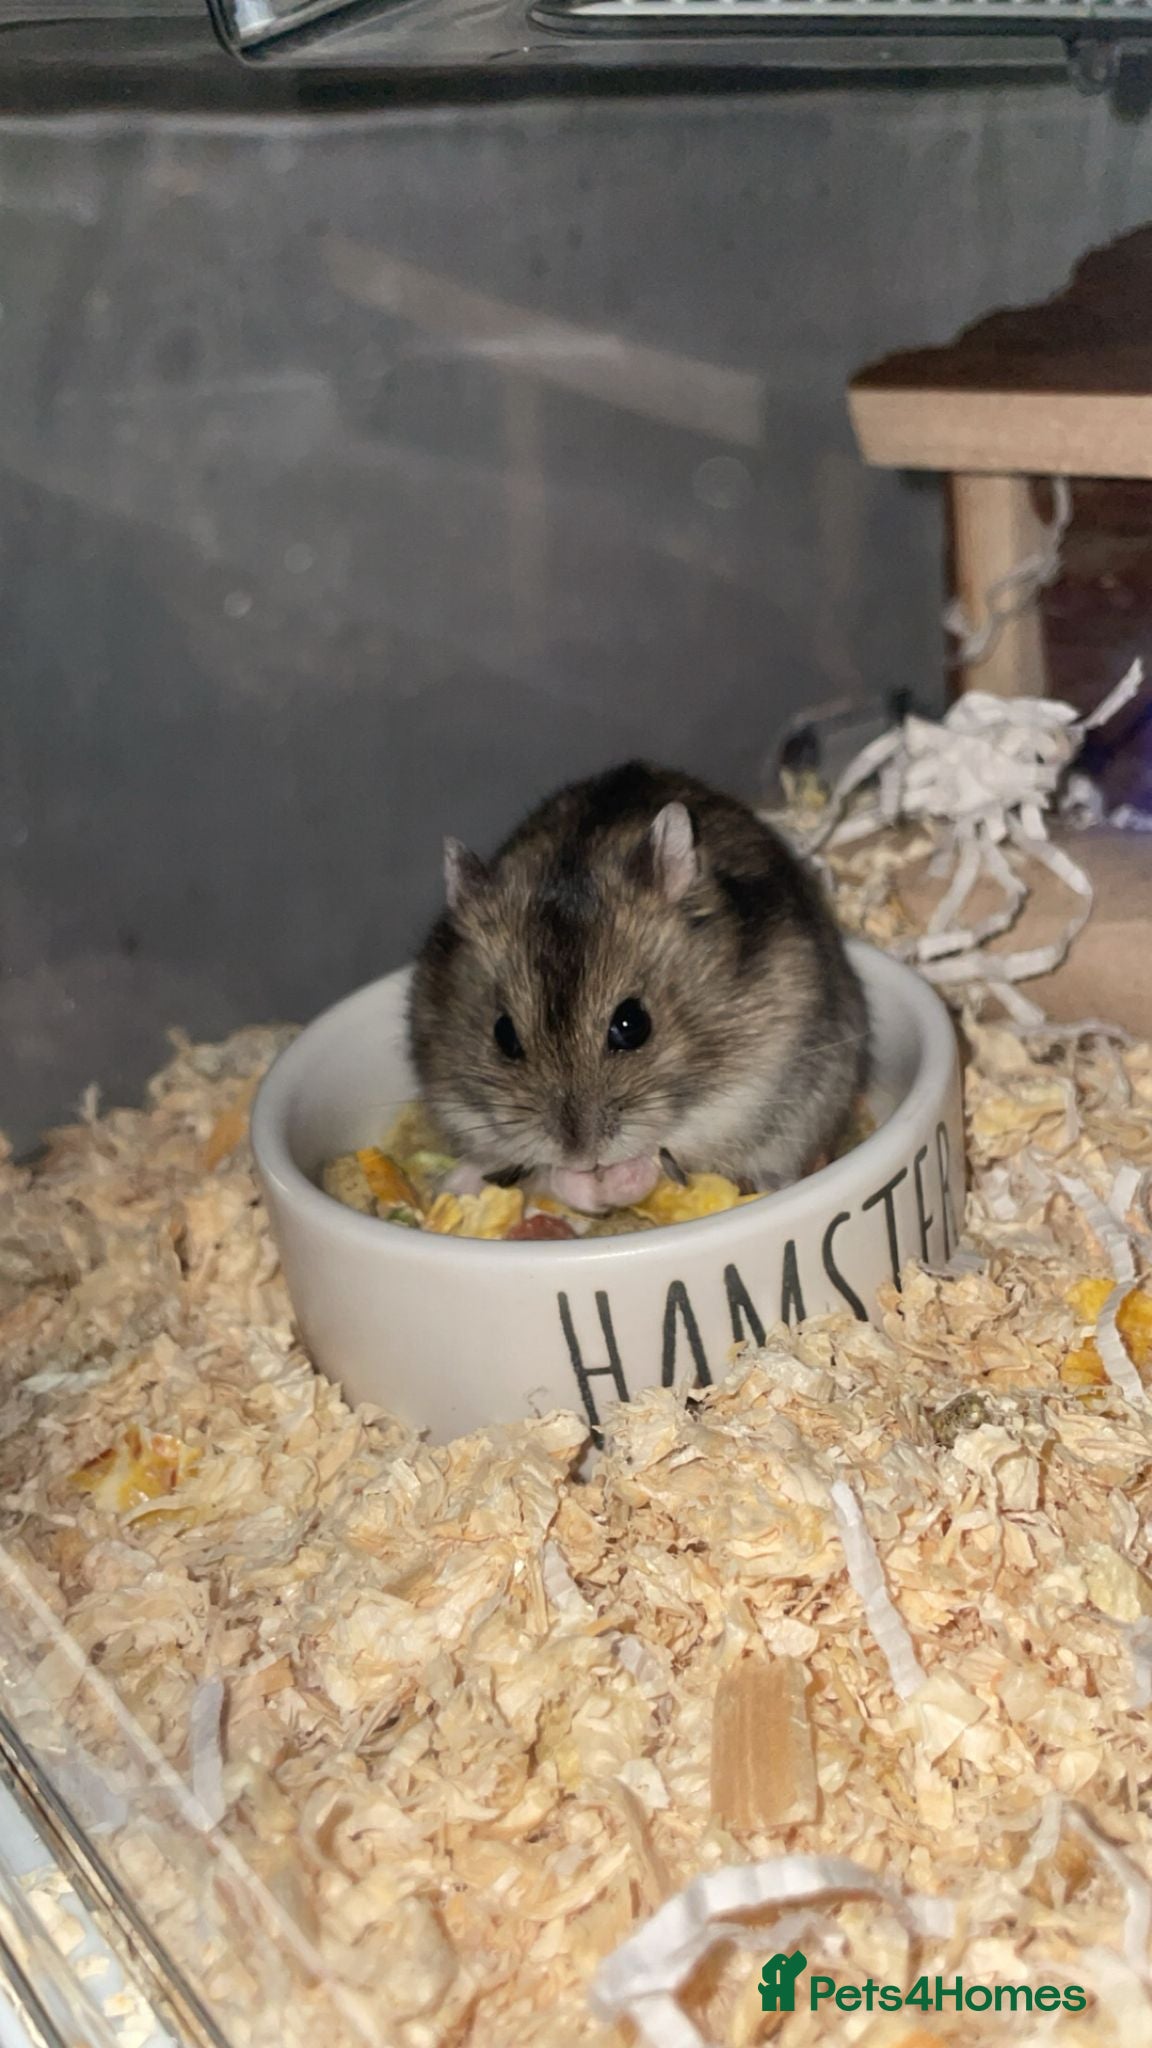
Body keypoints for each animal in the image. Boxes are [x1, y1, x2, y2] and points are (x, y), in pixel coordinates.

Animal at [408, 761, 868, 1214]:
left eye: (631, 1025)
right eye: (503, 1035)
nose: (582, 1156)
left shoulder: (747, 1089)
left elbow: (663, 1150)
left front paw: (620, 1178)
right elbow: (550, 1175)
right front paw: (580, 1183)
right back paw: (457, 1182)